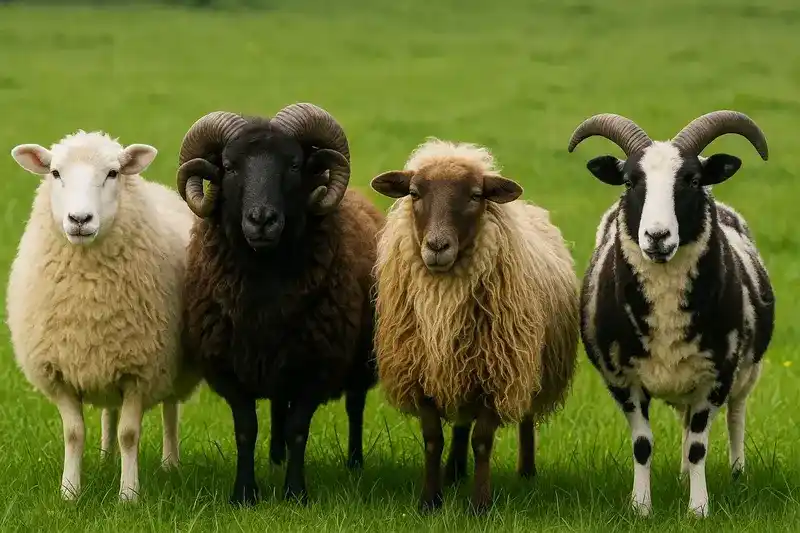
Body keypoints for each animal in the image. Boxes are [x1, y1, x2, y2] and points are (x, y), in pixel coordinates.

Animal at [6, 131, 201, 502]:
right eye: (55, 172)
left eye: (113, 173)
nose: (80, 219)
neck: (89, 298)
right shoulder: (60, 371)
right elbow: (73, 434)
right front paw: (70, 493)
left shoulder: (141, 370)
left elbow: (130, 434)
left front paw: (128, 495)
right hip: (105, 359)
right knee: (110, 413)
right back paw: (106, 459)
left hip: (171, 368)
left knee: (170, 411)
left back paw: (170, 464)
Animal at [175, 103, 384, 506]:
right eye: (229, 166)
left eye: (294, 164)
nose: (262, 220)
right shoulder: (229, 369)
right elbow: (246, 430)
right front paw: (244, 494)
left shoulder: (316, 366)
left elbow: (298, 429)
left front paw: (295, 493)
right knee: (276, 405)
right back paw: (275, 458)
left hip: (357, 360)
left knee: (354, 406)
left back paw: (354, 462)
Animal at [370, 138, 580, 513]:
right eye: (414, 193)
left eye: (475, 195)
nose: (437, 246)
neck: (443, 297)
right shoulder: (422, 371)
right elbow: (433, 439)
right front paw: (430, 500)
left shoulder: (499, 373)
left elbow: (482, 441)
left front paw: (480, 505)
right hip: (459, 370)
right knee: (460, 425)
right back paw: (454, 471)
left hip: (527, 366)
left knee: (524, 418)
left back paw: (526, 472)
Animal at [567, 110, 775, 517]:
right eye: (630, 181)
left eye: (692, 180)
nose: (657, 237)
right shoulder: (622, 379)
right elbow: (643, 445)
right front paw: (641, 507)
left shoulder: (716, 375)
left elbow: (698, 446)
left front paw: (698, 509)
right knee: (684, 421)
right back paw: (681, 477)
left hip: (746, 372)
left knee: (736, 415)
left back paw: (737, 473)